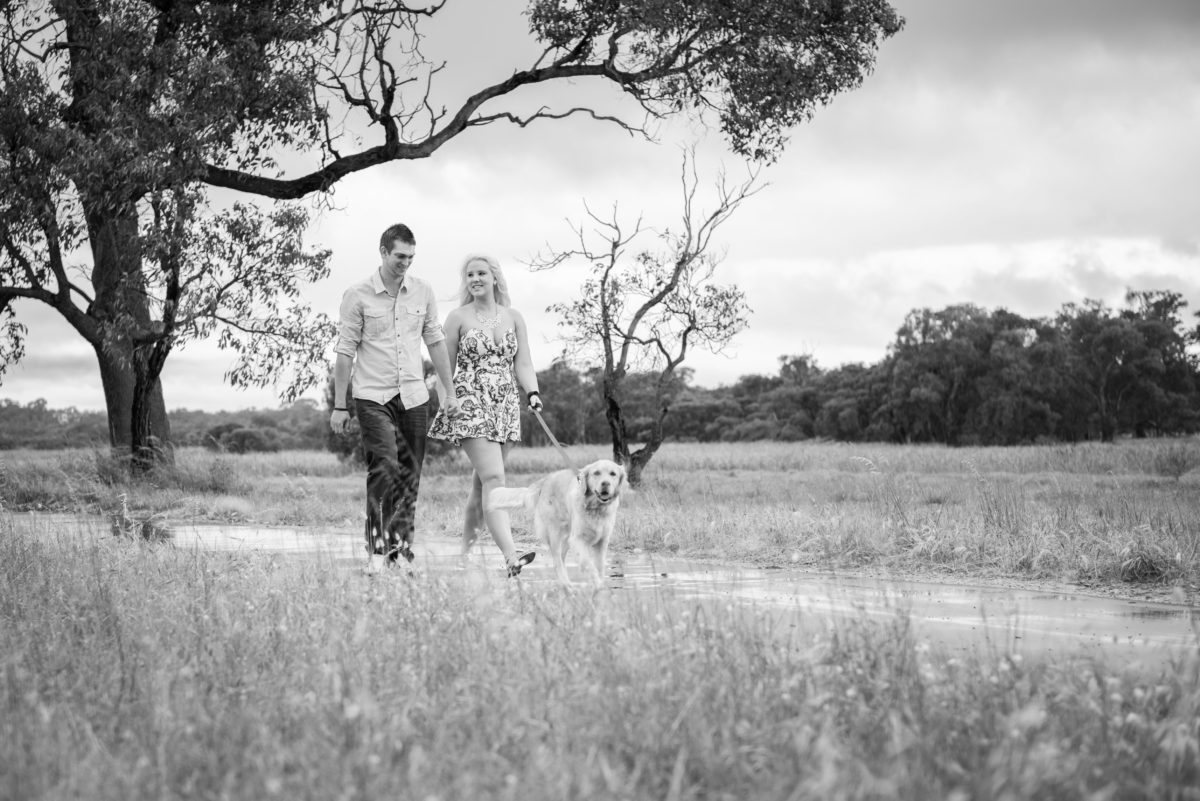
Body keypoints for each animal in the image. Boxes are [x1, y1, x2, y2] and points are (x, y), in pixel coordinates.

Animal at [487, 460, 628, 585]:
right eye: (596, 473)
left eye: (613, 474)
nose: (605, 483)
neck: (596, 509)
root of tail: (544, 481)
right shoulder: (577, 540)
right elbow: (587, 564)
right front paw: (596, 583)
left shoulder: (602, 541)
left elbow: (599, 567)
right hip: (555, 534)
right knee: (557, 561)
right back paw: (566, 584)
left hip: (566, 538)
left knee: (561, 558)